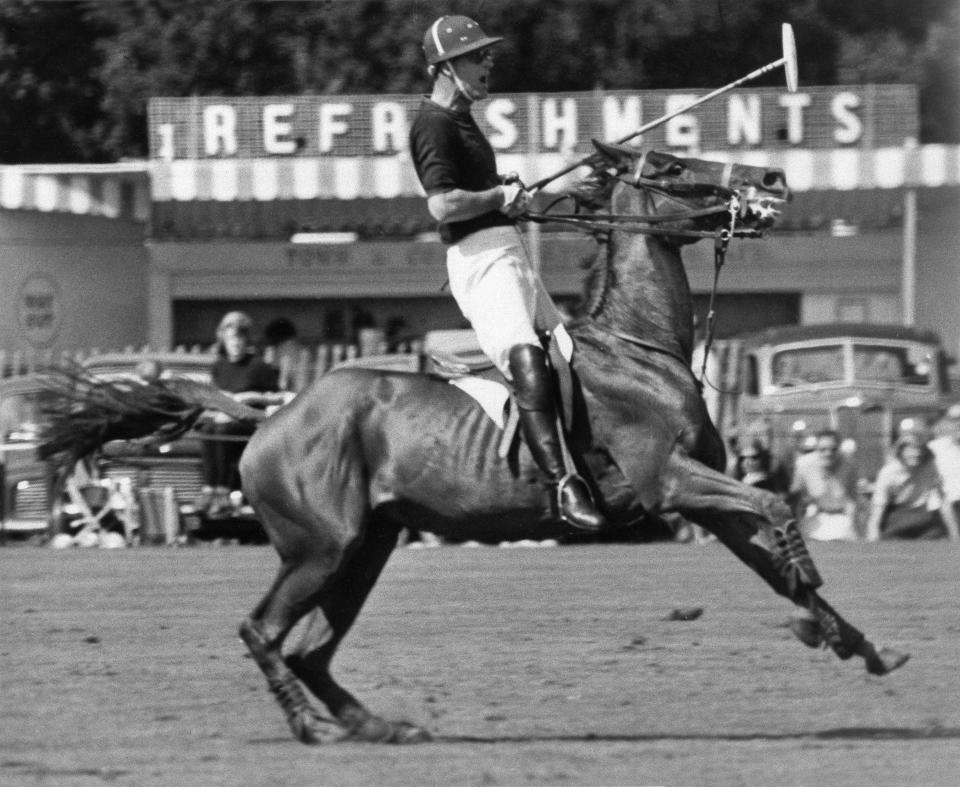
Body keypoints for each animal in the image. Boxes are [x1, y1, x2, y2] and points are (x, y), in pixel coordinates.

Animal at [238, 146, 908, 744]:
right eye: (671, 166)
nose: (769, 176)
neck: (639, 349)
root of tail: (267, 425)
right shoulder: (670, 480)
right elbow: (775, 504)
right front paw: (810, 579)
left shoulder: (704, 502)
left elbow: (770, 563)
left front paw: (858, 642)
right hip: (322, 548)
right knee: (262, 631)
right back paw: (310, 727)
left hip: (367, 546)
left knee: (310, 651)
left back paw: (380, 726)